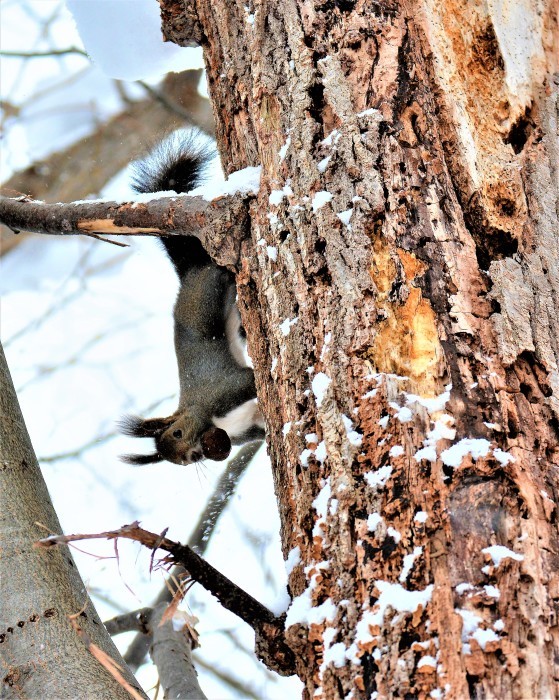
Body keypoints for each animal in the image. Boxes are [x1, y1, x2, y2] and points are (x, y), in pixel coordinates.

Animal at [120, 134, 264, 468]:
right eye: (179, 464)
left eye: (177, 433)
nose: (194, 455)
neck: (206, 418)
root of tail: (188, 274)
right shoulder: (247, 428)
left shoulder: (224, 392)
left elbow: (250, 380)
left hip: (206, 294)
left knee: (220, 274)